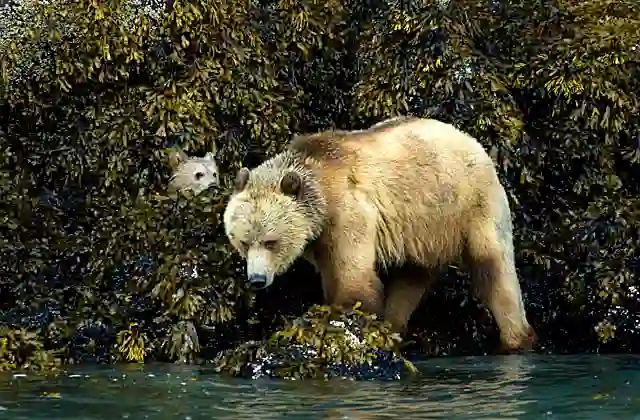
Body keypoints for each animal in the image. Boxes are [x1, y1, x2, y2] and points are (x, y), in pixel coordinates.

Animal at [222, 116, 537, 352]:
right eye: (243, 241)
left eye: (271, 241)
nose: (257, 280)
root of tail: (474, 142)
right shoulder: (322, 238)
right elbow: (332, 275)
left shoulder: (349, 214)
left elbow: (354, 276)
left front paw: (346, 318)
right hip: (422, 231)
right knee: (410, 278)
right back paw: (394, 327)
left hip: (471, 205)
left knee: (495, 270)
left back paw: (515, 338)